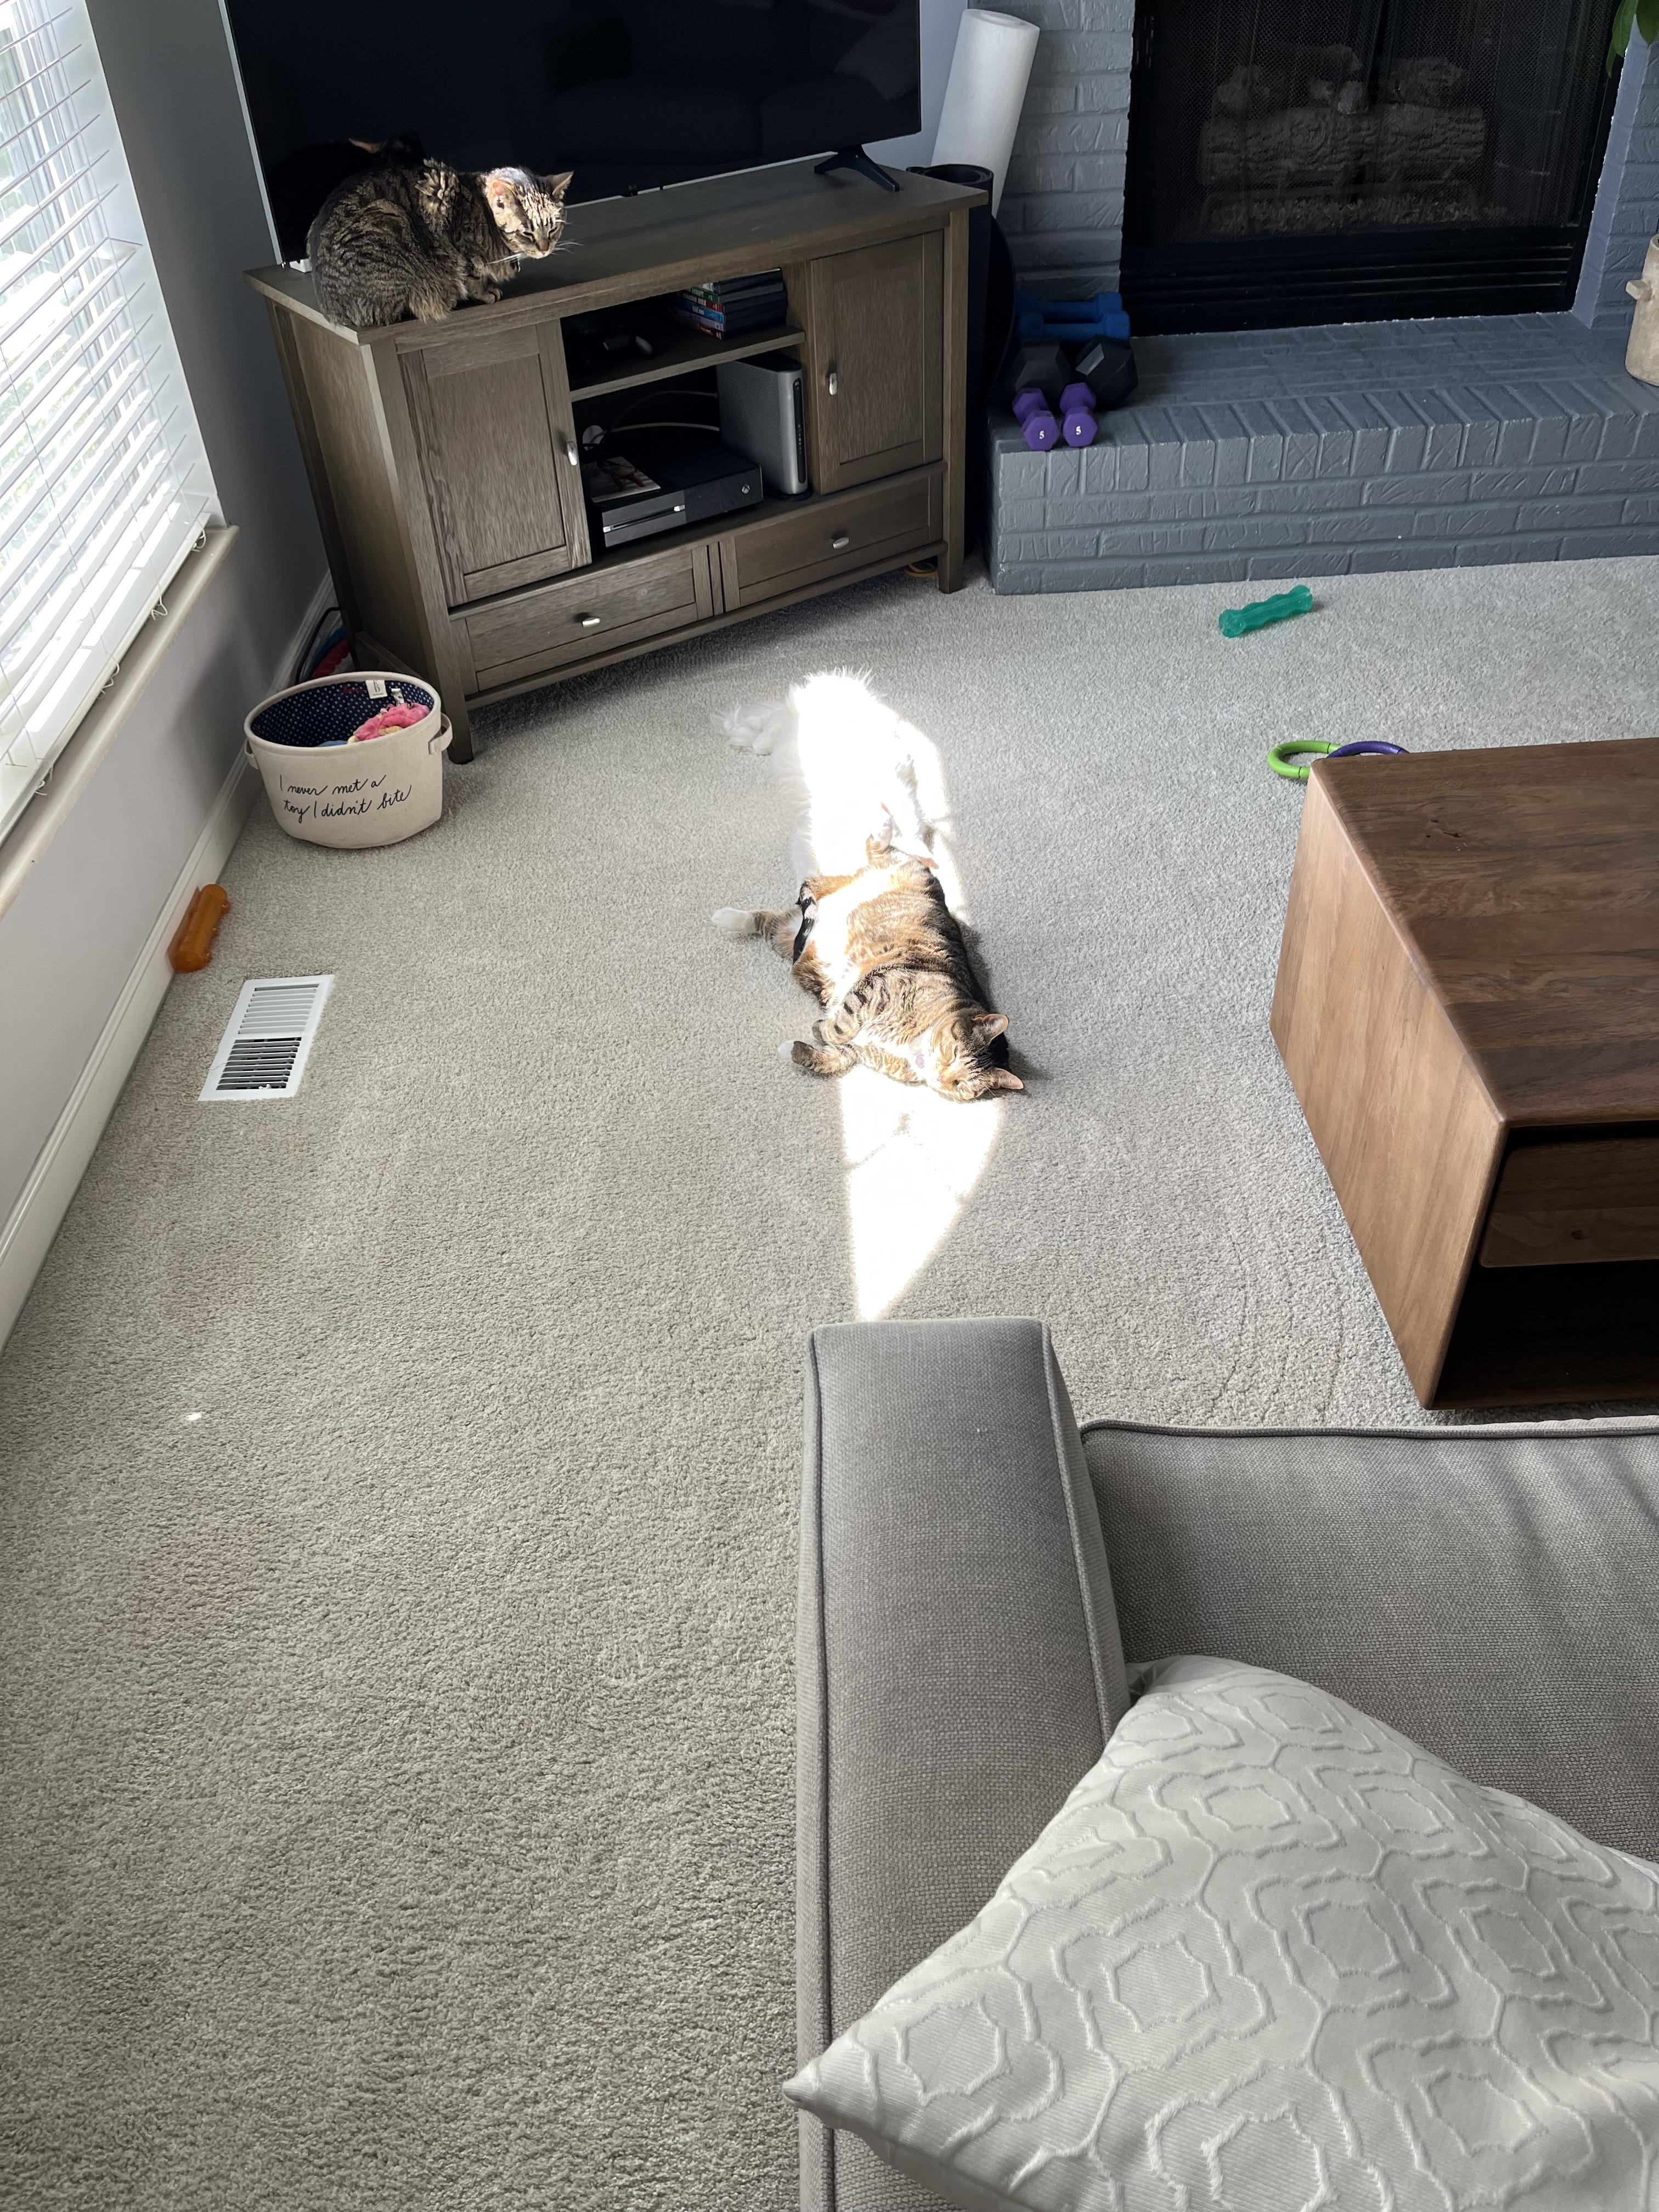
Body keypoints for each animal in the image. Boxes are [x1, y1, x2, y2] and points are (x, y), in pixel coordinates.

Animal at [309, 158, 575, 327]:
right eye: (527, 233)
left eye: (553, 228)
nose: (545, 249)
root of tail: (331, 311)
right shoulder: (462, 248)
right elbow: (473, 276)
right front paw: (486, 292)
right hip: (388, 219)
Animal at [716, 663, 1026, 1097]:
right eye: (954, 1055)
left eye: (962, 1085)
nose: (940, 1077)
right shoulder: (875, 990)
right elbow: (839, 1024)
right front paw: (821, 1026)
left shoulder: (859, 1051)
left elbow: (831, 1054)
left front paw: (795, 1046)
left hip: (790, 933)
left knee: (769, 922)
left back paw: (728, 918)